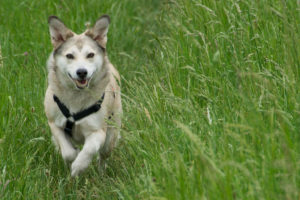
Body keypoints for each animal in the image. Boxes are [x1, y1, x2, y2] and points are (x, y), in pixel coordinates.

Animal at [44, 14, 121, 176]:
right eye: (69, 56)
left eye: (90, 54)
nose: (81, 72)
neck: (76, 97)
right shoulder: (54, 123)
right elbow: (67, 152)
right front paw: (73, 156)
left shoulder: (98, 131)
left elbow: (90, 149)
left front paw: (78, 167)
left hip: (112, 132)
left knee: (104, 154)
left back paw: (101, 173)